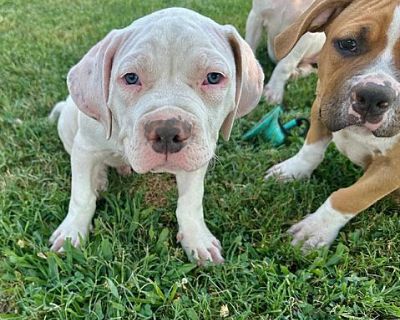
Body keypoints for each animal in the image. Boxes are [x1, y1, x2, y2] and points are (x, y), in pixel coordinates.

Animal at [48, 7, 264, 264]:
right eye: (131, 78)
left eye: (213, 77)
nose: (168, 131)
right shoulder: (85, 148)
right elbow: (81, 196)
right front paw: (71, 234)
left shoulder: (198, 157)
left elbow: (190, 202)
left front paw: (197, 240)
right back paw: (99, 179)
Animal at [266, 0, 400, 250]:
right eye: (348, 43)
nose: (373, 95)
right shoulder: (322, 103)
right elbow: (311, 150)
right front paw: (292, 170)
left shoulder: (393, 168)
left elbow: (350, 196)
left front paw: (316, 228)